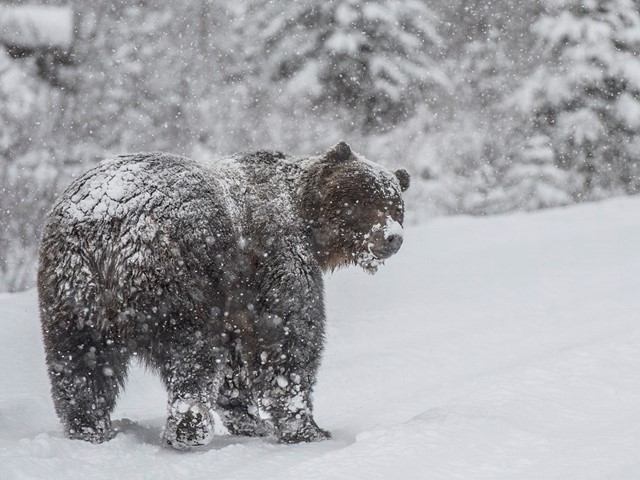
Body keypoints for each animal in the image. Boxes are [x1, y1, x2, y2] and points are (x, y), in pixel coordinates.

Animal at [37, 142, 410, 449]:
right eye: (366, 199)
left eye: (396, 206)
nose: (393, 237)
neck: (308, 220)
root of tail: (105, 224)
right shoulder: (275, 257)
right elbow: (289, 339)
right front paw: (306, 428)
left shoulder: (234, 296)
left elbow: (235, 360)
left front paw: (249, 419)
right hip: (177, 276)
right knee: (191, 352)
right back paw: (189, 427)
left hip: (71, 292)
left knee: (80, 364)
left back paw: (90, 428)